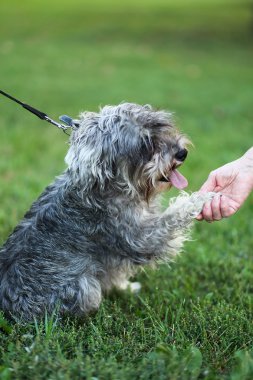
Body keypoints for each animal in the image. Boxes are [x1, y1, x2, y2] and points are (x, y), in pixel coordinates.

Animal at [0, 102, 213, 320]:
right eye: (145, 144)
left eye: (160, 126)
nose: (181, 153)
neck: (116, 185)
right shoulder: (140, 238)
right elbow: (171, 218)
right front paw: (200, 199)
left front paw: (126, 288)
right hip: (84, 288)